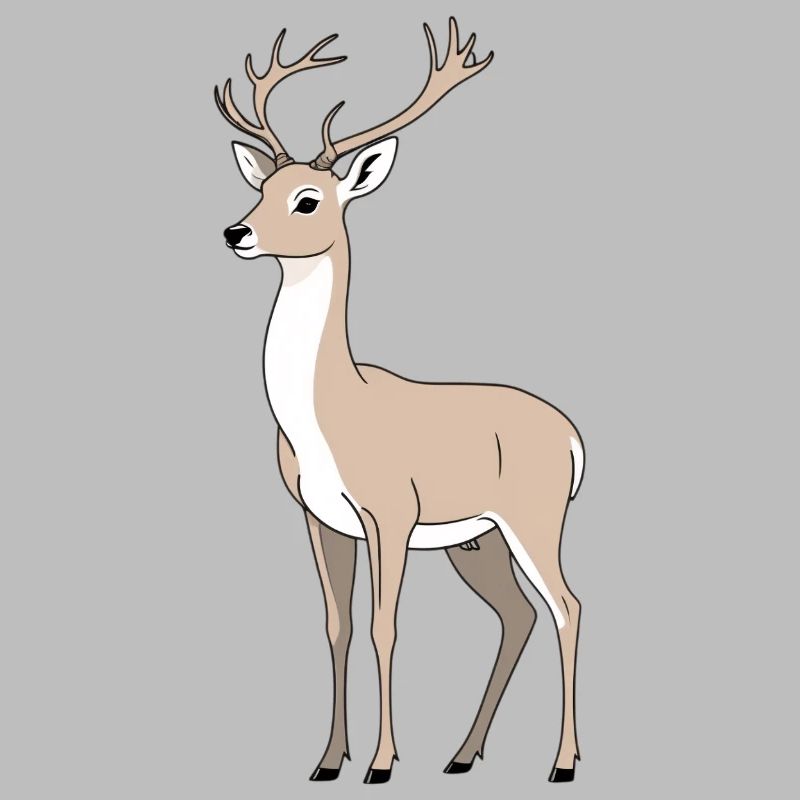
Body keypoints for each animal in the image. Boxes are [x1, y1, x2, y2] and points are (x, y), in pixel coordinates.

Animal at [214, 18, 584, 786]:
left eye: (308, 199)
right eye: (265, 188)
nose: (235, 232)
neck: (331, 413)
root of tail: (572, 437)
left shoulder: (390, 513)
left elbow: (386, 626)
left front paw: (381, 763)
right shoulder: (319, 518)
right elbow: (338, 626)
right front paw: (327, 761)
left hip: (534, 518)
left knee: (567, 605)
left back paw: (562, 763)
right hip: (478, 539)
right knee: (519, 615)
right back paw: (463, 755)